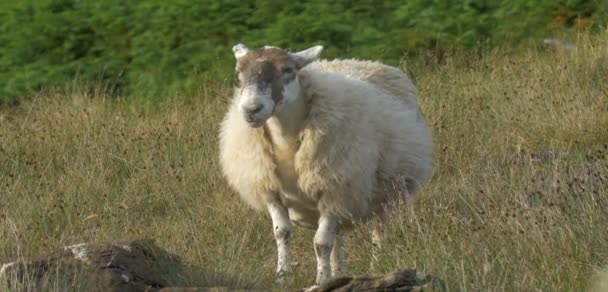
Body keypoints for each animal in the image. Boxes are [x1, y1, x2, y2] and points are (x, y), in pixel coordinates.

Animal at [217, 43, 432, 286]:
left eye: (287, 70)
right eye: (239, 73)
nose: (251, 109)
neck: (285, 141)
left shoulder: (332, 188)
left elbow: (321, 244)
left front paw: (321, 280)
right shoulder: (270, 190)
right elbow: (282, 233)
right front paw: (283, 276)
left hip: (384, 195)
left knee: (378, 235)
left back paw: (376, 268)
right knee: (338, 238)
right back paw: (340, 272)